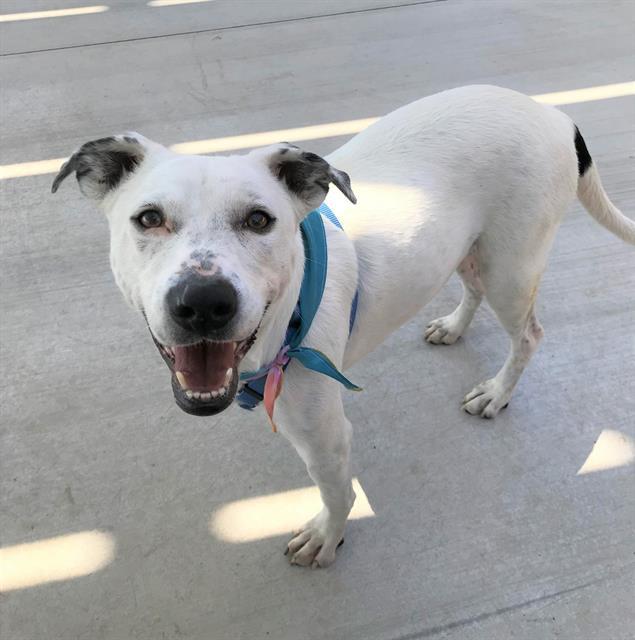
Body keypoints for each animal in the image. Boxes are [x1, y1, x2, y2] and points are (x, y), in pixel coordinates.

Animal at [52, 84, 632, 564]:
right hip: (469, 252)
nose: (203, 302)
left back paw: (497, 392)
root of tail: (552, 113)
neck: (283, 323)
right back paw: (453, 326)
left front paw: (326, 536)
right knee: (472, 290)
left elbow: (336, 492)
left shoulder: (325, 437)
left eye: (260, 220)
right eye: (149, 218)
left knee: (529, 334)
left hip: (511, 270)